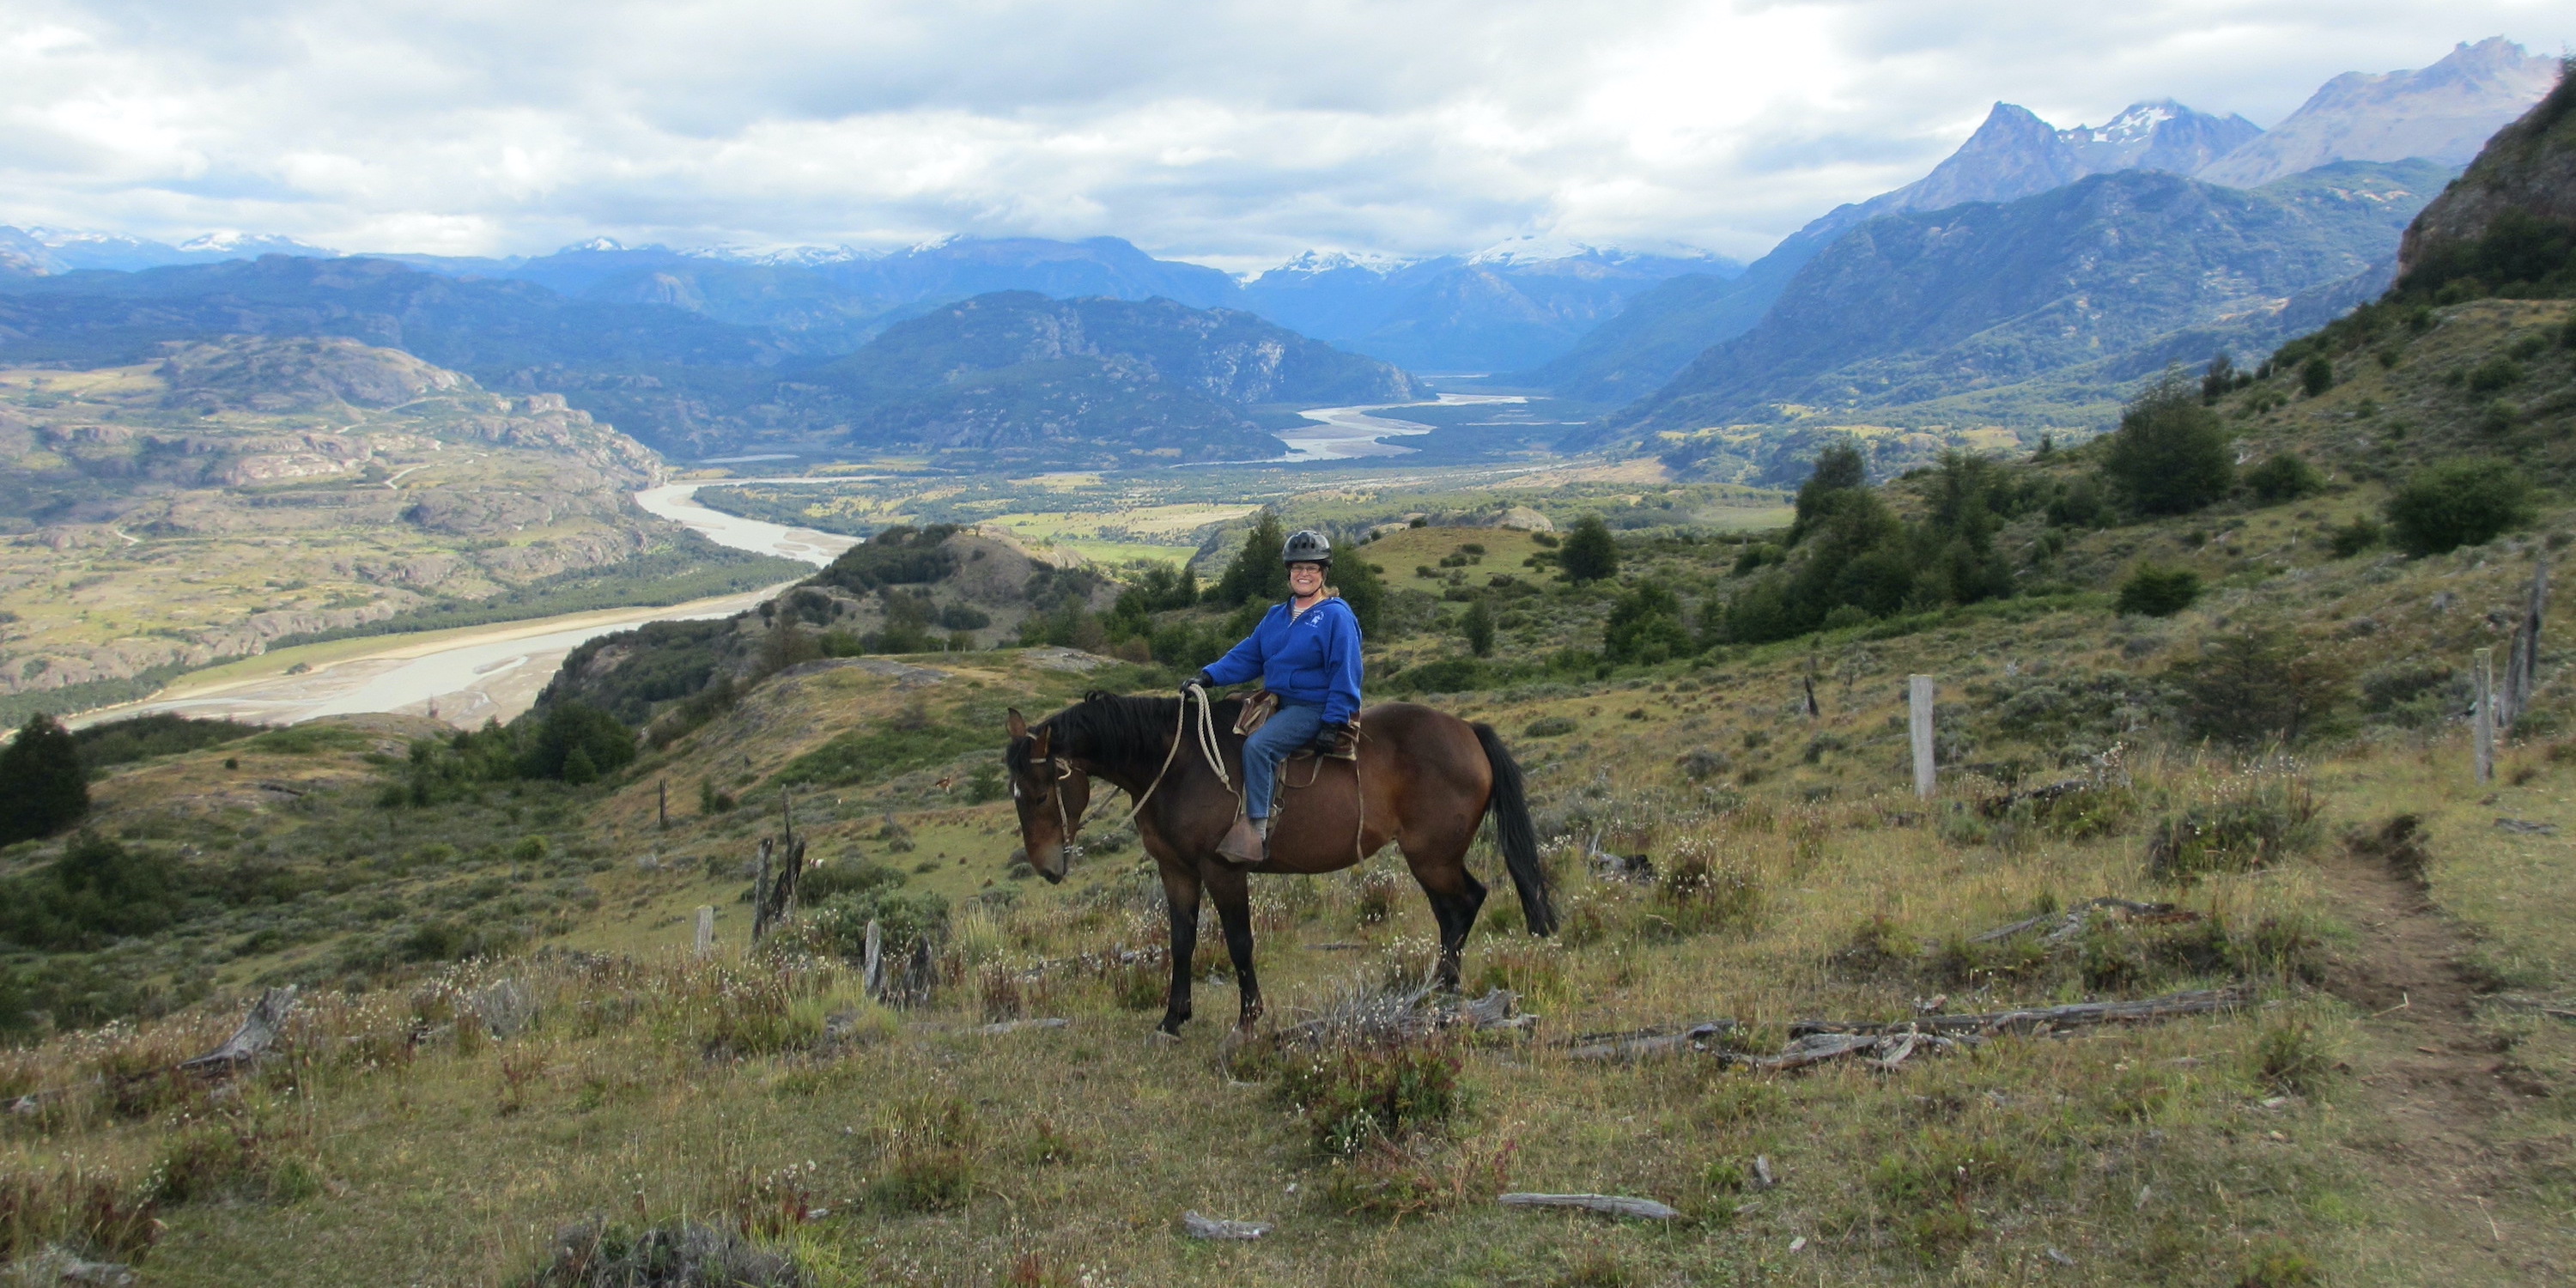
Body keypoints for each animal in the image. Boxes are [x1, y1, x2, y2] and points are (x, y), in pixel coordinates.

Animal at [1002, 690, 1557, 1036]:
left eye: (1040, 794)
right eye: (1016, 796)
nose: (1047, 868)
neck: (1177, 766)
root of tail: (1468, 730)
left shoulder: (1222, 870)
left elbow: (1239, 942)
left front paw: (1249, 1017)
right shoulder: (1176, 871)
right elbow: (1181, 942)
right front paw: (1174, 1018)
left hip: (1433, 856)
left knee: (1466, 902)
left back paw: (1444, 988)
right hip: (1431, 859)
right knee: (1451, 912)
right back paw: (1440, 988)